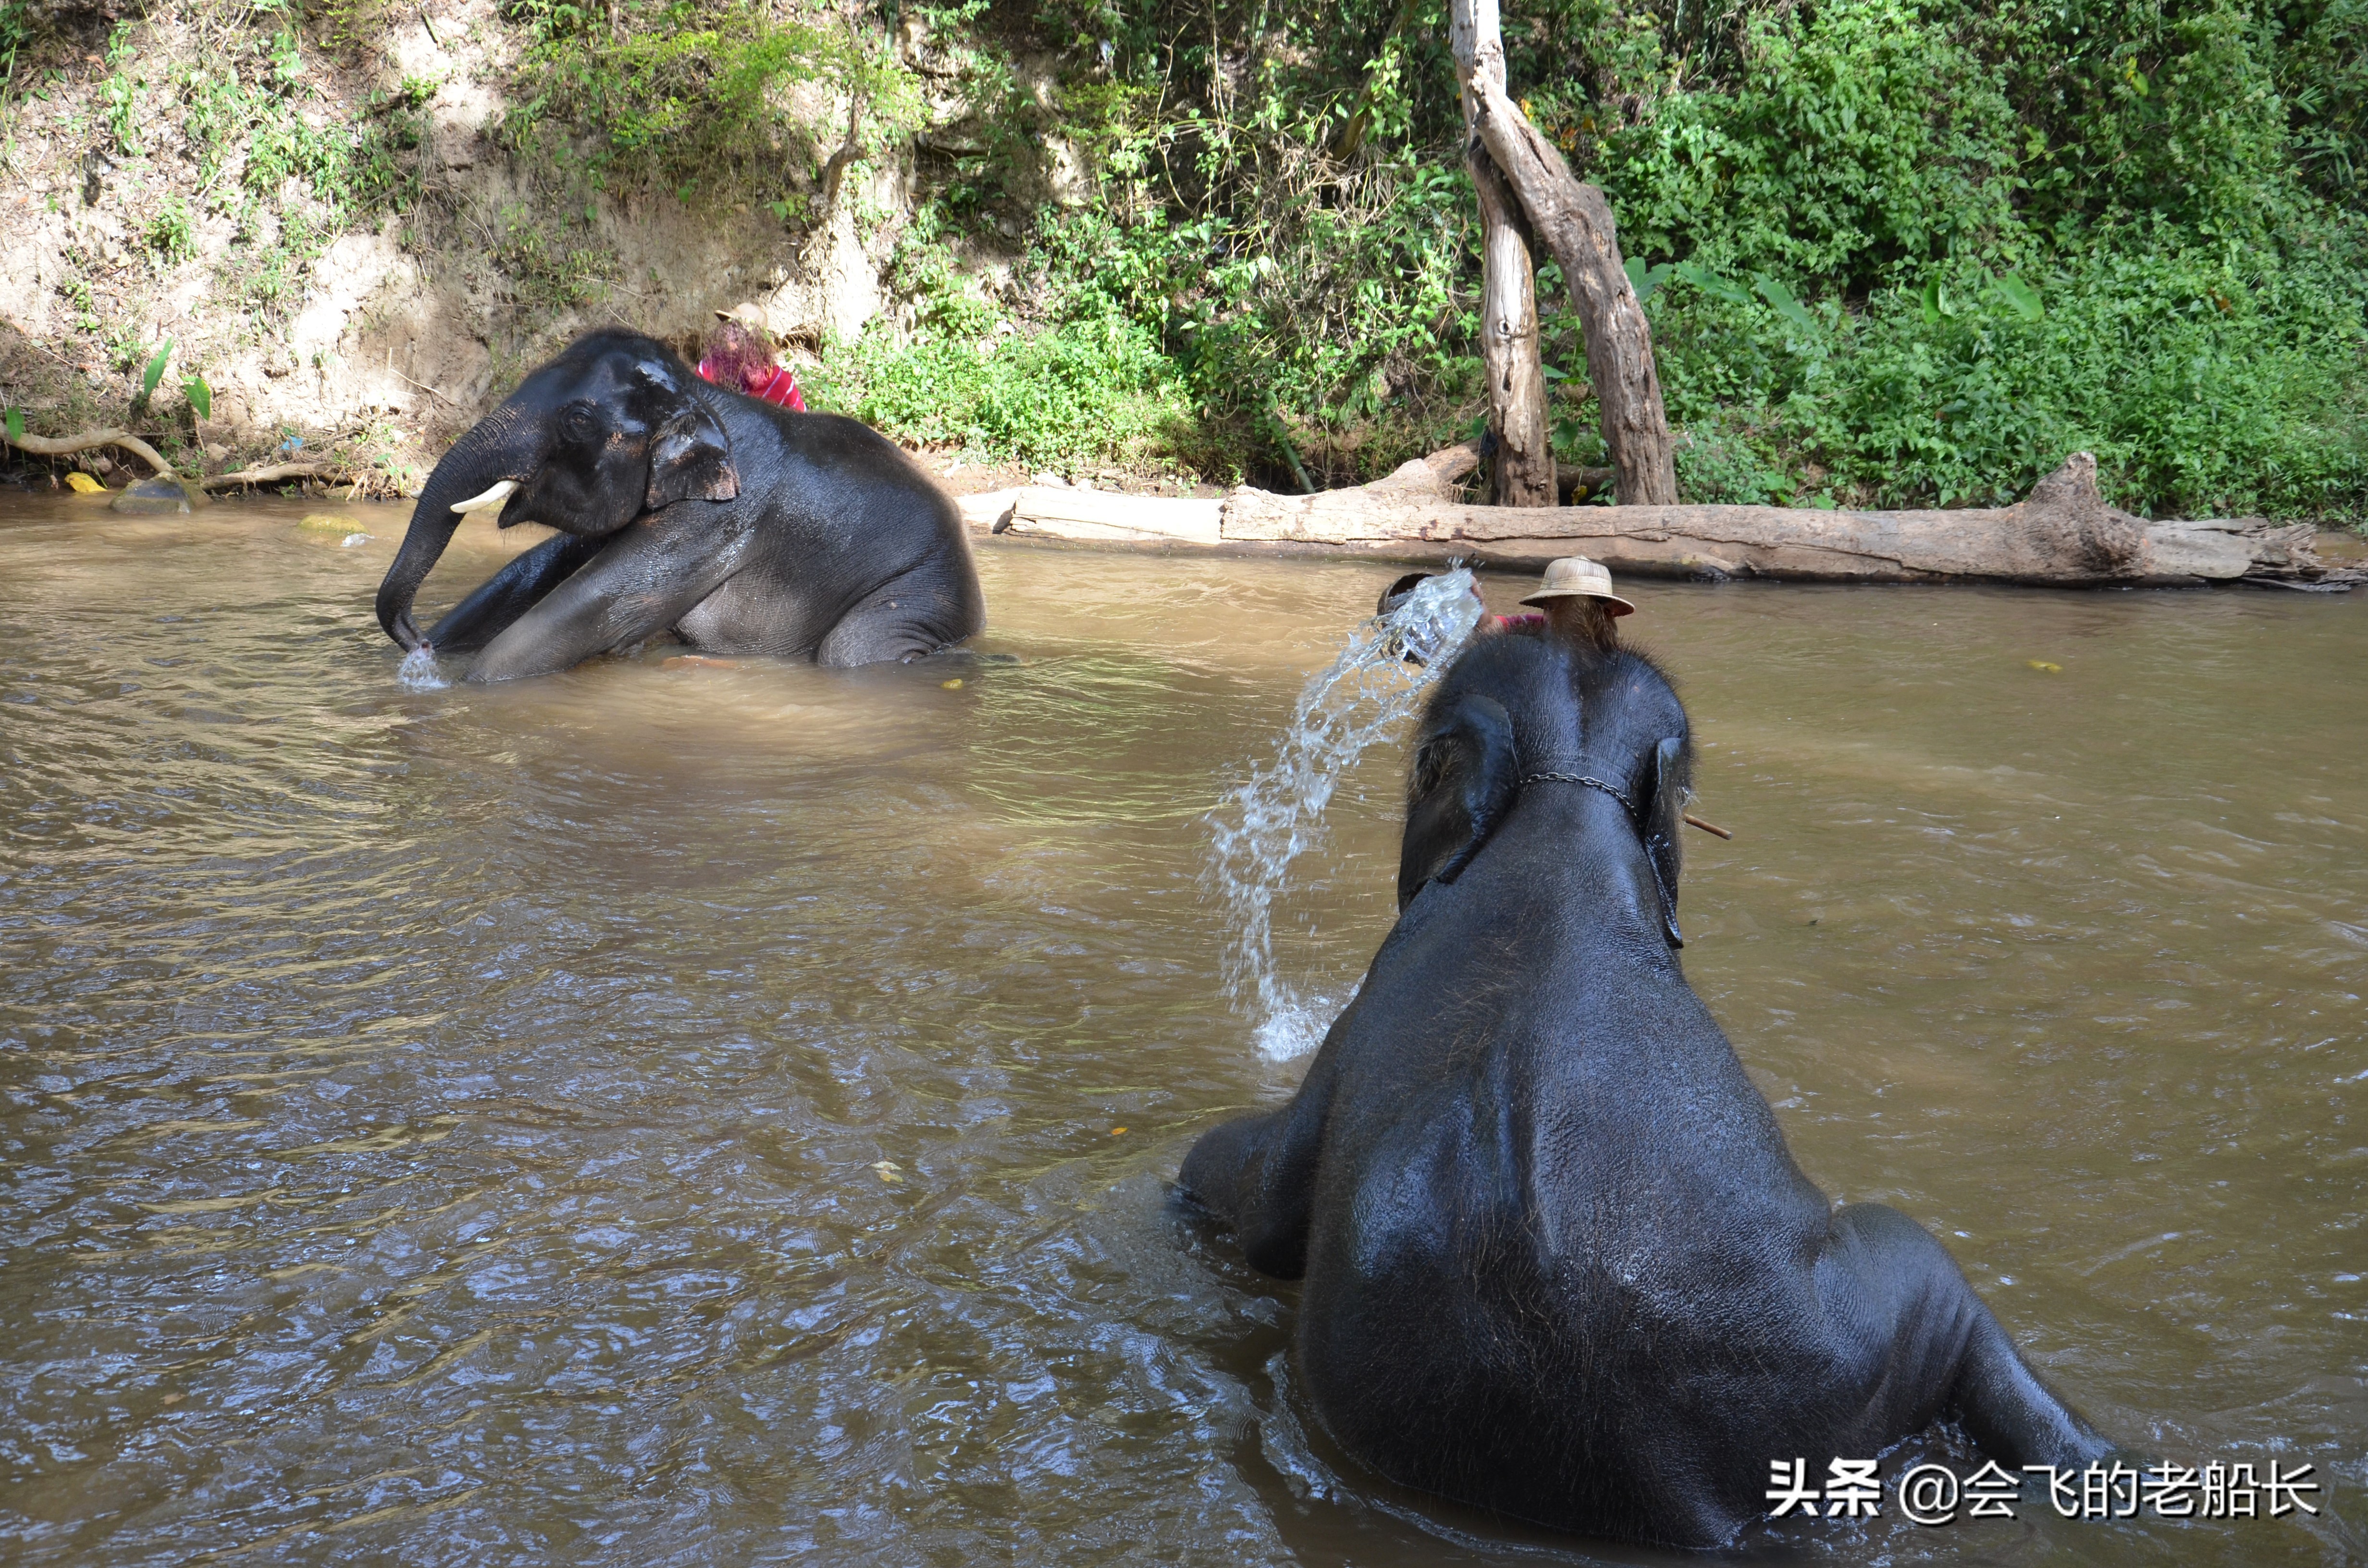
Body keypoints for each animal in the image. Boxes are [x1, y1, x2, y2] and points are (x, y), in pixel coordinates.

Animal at [374, 329, 983, 680]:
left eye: (578, 421)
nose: (418, 640)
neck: (700, 396)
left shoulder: (715, 521)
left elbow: (592, 605)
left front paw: (461, 688)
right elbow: (536, 569)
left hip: (926, 588)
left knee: (853, 650)